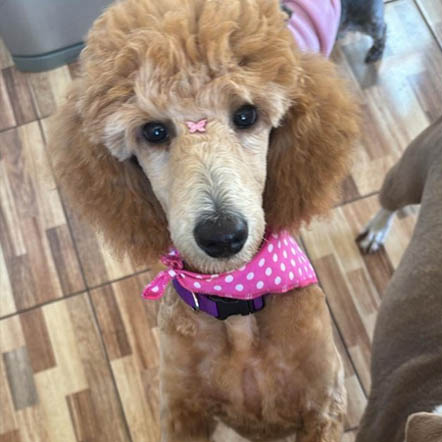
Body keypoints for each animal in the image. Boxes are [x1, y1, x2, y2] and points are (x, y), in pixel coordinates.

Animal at [49, 0, 359, 440]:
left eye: (246, 115)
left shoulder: (324, 403)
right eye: (154, 131)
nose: (222, 236)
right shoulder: (182, 409)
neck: (236, 301)